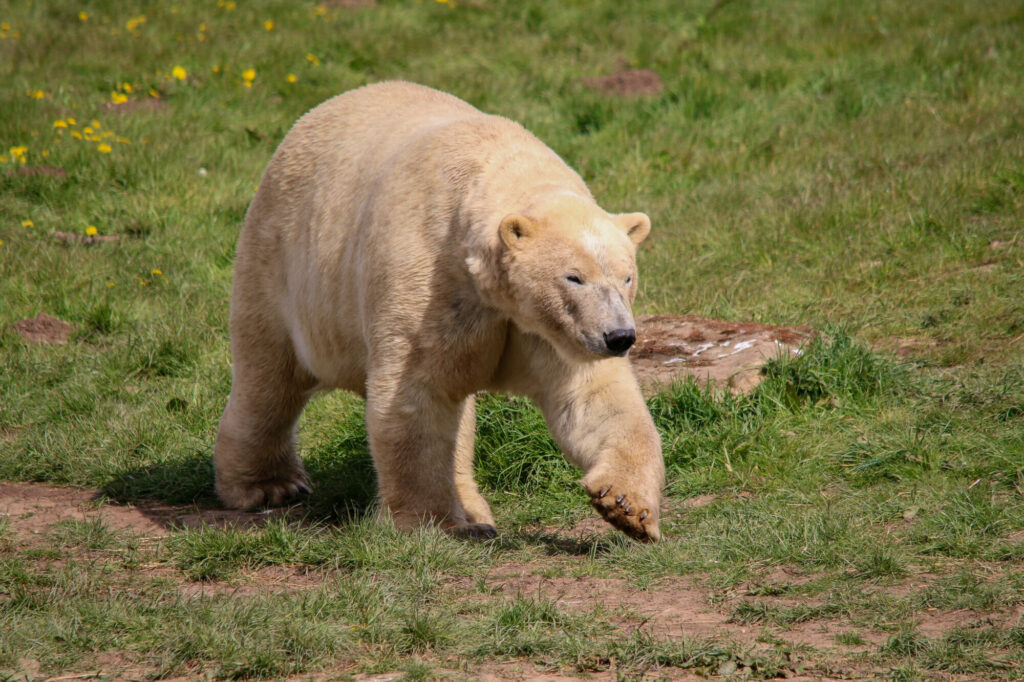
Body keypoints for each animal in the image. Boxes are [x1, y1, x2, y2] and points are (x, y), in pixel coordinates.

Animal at [214, 81, 665, 542]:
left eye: (627, 277)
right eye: (574, 277)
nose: (620, 337)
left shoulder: (547, 330)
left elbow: (594, 399)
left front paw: (626, 507)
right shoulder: (432, 282)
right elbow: (417, 397)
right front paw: (431, 523)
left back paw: (474, 508)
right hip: (282, 266)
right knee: (268, 377)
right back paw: (268, 485)